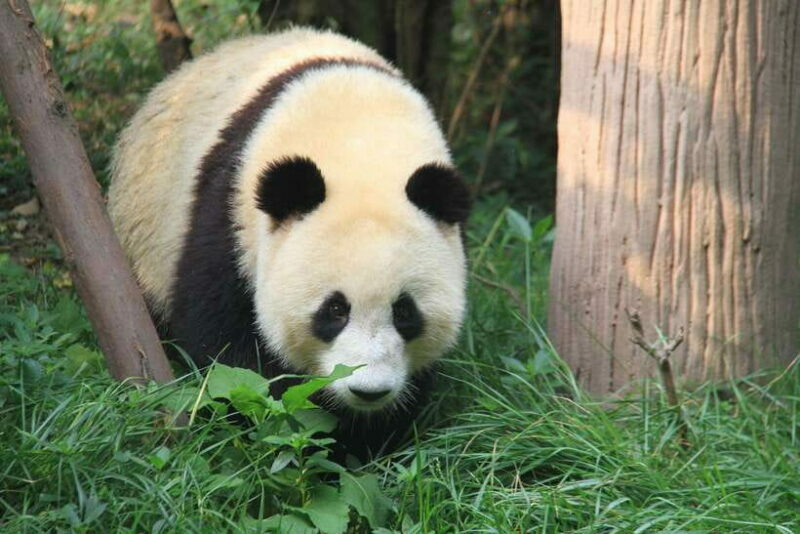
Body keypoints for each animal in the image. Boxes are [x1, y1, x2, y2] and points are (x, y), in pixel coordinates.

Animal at [108, 28, 470, 458]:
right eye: (334, 310)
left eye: (405, 312)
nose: (368, 391)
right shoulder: (230, 217)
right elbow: (227, 348)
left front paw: (367, 437)